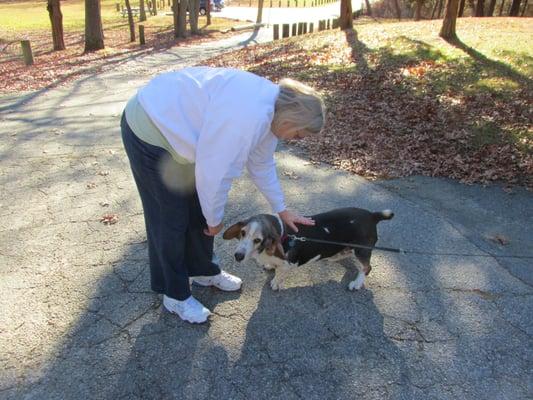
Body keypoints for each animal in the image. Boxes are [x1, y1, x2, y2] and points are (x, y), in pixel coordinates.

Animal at [222, 206, 392, 290]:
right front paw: (269, 266)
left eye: (258, 240)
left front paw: (275, 283)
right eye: (243, 233)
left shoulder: (288, 265)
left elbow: (279, 274)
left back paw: (356, 283)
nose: (238, 256)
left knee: (366, 267)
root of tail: (372, 215)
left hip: (361, 250)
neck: (283, 235)